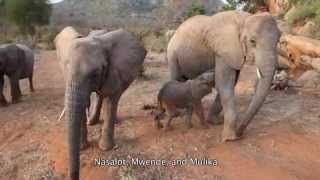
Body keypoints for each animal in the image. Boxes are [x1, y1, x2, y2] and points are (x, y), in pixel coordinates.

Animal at [54, 27, 146, 180]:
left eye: (95, 74)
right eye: (65, 69)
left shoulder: (114, 71)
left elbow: (111, 100)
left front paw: (105, 148)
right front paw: (83, 147)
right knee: (99, 95)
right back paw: (92, 122)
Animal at [168, 10, 280, 141]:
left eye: (279, 41)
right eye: (252, 41)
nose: (239, 133)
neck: (245, 19)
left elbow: (231, 82)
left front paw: (215, 122)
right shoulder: (223, 49)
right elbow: (224, 83)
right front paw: (229, 138)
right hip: (172, 55)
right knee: (177, 80)